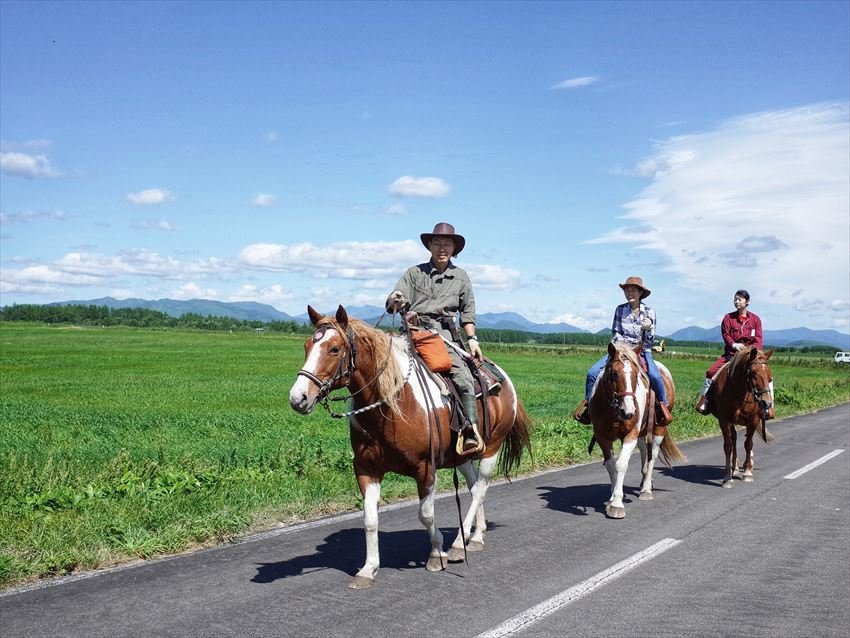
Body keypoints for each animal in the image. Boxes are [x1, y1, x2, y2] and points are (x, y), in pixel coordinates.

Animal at [288, 308, 532, 592]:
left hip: (491, 449)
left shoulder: (425, 469)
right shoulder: (366, 469)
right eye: (307, 346)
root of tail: (503, 377)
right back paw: (476, 536)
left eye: (335, 349)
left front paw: (437, 554)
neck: (392, 407)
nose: (298, 398)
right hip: (462, 456)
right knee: (474, 490)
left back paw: (458, 545)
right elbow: (369, 519)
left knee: (481, 489)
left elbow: (425, 514)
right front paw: (368, 569)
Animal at [588, 344, 684, 520]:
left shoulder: (630, 434)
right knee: (644, 450)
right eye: (613, 373)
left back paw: (646, 489)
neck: (613, 410)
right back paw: (645, 479)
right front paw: (612, 498)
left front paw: (617, 505)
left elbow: (621, 465)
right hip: (642, 432)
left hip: (658, 429)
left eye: (636, 374)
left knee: (652, 456)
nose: (629, 412)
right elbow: (611, 465)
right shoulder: (602, 436)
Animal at [704, 348, 776, 488]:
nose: (767, 403)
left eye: (769, 376)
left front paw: (747, 473)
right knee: (734, 439)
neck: (739, 392)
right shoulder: (724, 420)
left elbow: (748, 444)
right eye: (753, 373)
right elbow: (728, 446)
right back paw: (735, 466)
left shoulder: (753, 421)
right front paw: (727, 478)